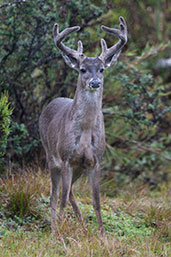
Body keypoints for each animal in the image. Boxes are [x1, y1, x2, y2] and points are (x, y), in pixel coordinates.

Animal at [38, 16, 127, 236]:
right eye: (82, 69)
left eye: (102, 69)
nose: (95, 82)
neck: (86, 133)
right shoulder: (66, 158)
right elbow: (60, 199)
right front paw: (58, 233)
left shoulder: (96, 160)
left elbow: (96, 201)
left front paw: (102, 235)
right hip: (51, 156)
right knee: (55, 195)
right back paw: (54, 228)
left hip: (78, 167)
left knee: (70, 191)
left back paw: (84, 227)